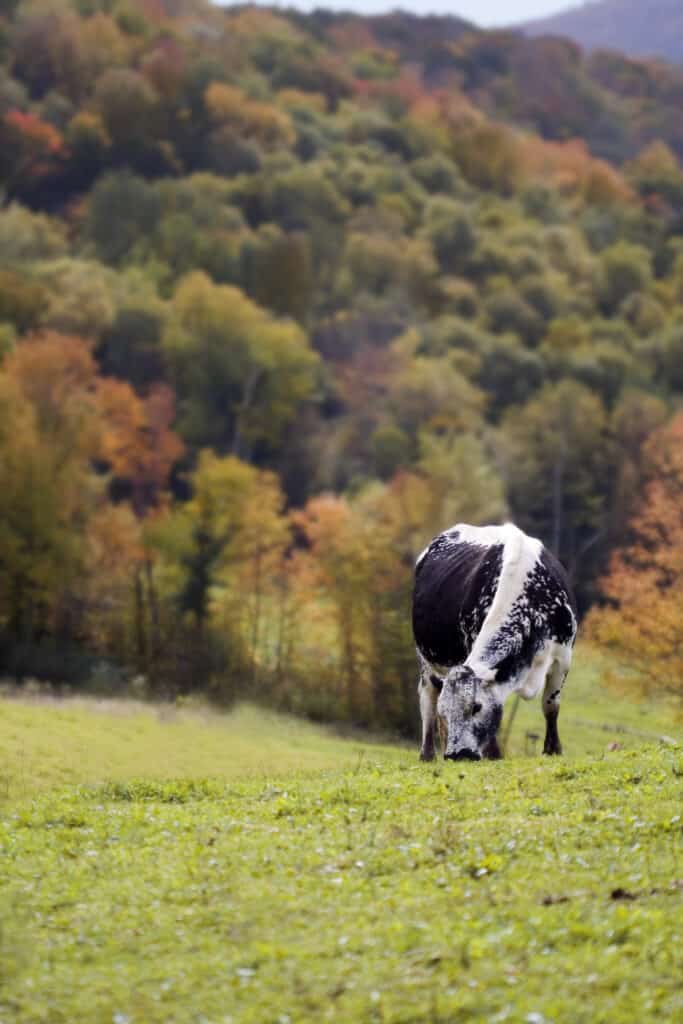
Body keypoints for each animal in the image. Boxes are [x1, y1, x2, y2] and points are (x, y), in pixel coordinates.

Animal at [412, 522, 577, 762]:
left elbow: (551, 705)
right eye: (446, 712)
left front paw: (552, 749)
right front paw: (493, 754)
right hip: (425, 659)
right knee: (428, 699)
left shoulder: (563, 657)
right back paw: (427, 754)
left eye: (476, 707)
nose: (457, 754)